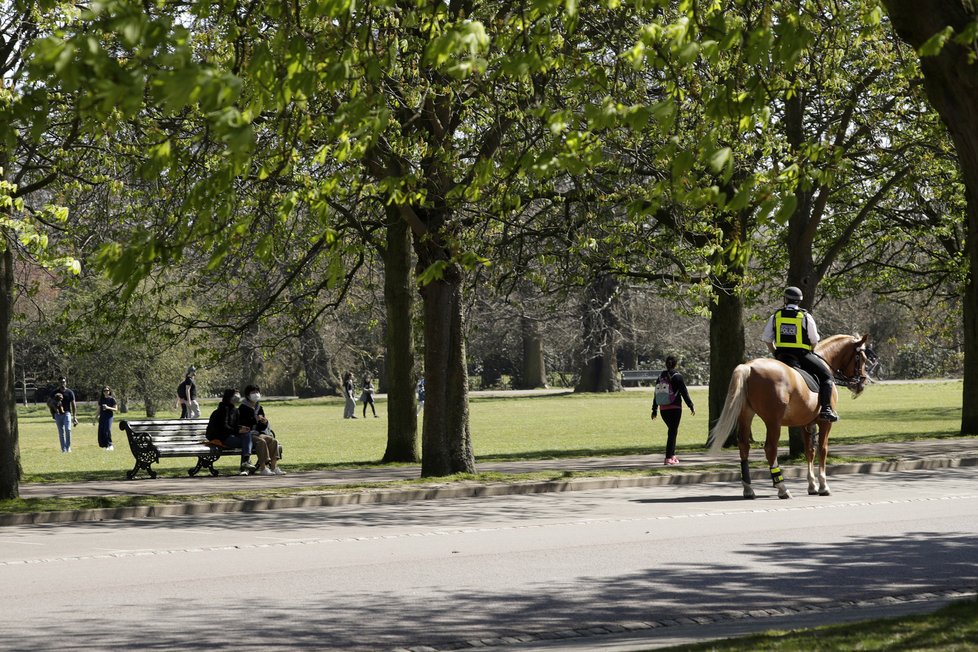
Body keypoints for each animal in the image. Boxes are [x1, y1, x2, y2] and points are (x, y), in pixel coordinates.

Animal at [704, 334, 872, 502]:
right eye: (862, 358)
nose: (862, 383)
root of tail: (749, 367)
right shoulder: (824, 423)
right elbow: (822, 449)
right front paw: (823, 486)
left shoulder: (806, 423)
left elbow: (809, 451)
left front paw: (812, 486)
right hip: (773, 421)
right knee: (770, 449)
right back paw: (782, 488)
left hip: (746, 416)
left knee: (744, 446)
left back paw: (748, 489)